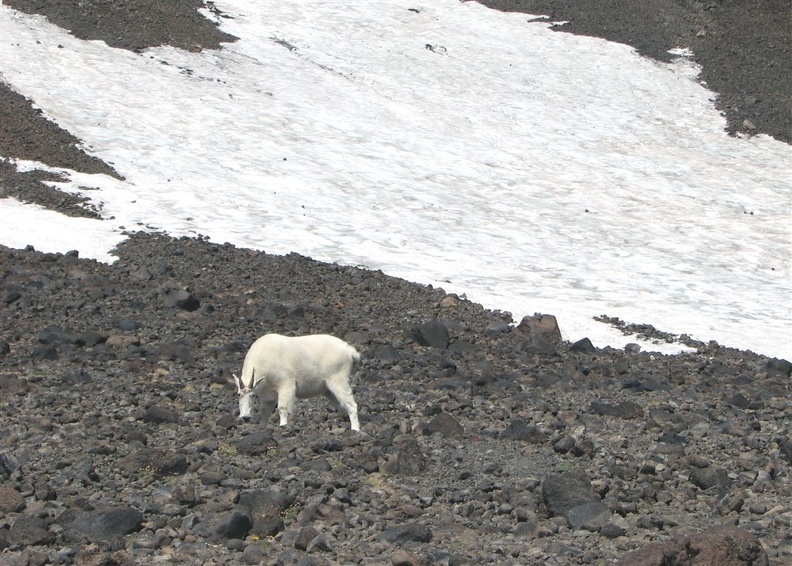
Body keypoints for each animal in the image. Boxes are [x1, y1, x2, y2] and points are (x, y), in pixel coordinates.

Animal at [232, 336, 362, 432]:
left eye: (253, 395)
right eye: (238, 394)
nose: (246, 417)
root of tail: (349, 351)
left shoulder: (286, 384)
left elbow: (282, 408)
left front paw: (283, 426)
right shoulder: (268, 395)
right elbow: (264, 412)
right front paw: (261, 429)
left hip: (338, 380)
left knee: (352, 405)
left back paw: (355, 430)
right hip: (328, 390)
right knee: (343, 405)